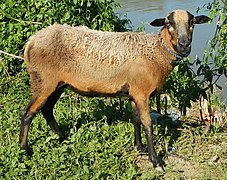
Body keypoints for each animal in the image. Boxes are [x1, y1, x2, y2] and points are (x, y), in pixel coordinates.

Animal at [19, 9, 209, 172]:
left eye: (192, 22)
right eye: (169, 23)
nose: (184, 45)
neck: (155, 54)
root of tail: (31, 42)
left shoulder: (134, 93)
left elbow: (135, 120)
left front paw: (139, 147)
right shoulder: (142, 93)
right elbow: (147, 124)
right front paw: (156, 161)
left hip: (57, 84)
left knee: (47, 110)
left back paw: (62, 137)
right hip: (43, 81)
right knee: (28, 113)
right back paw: (24, 150)